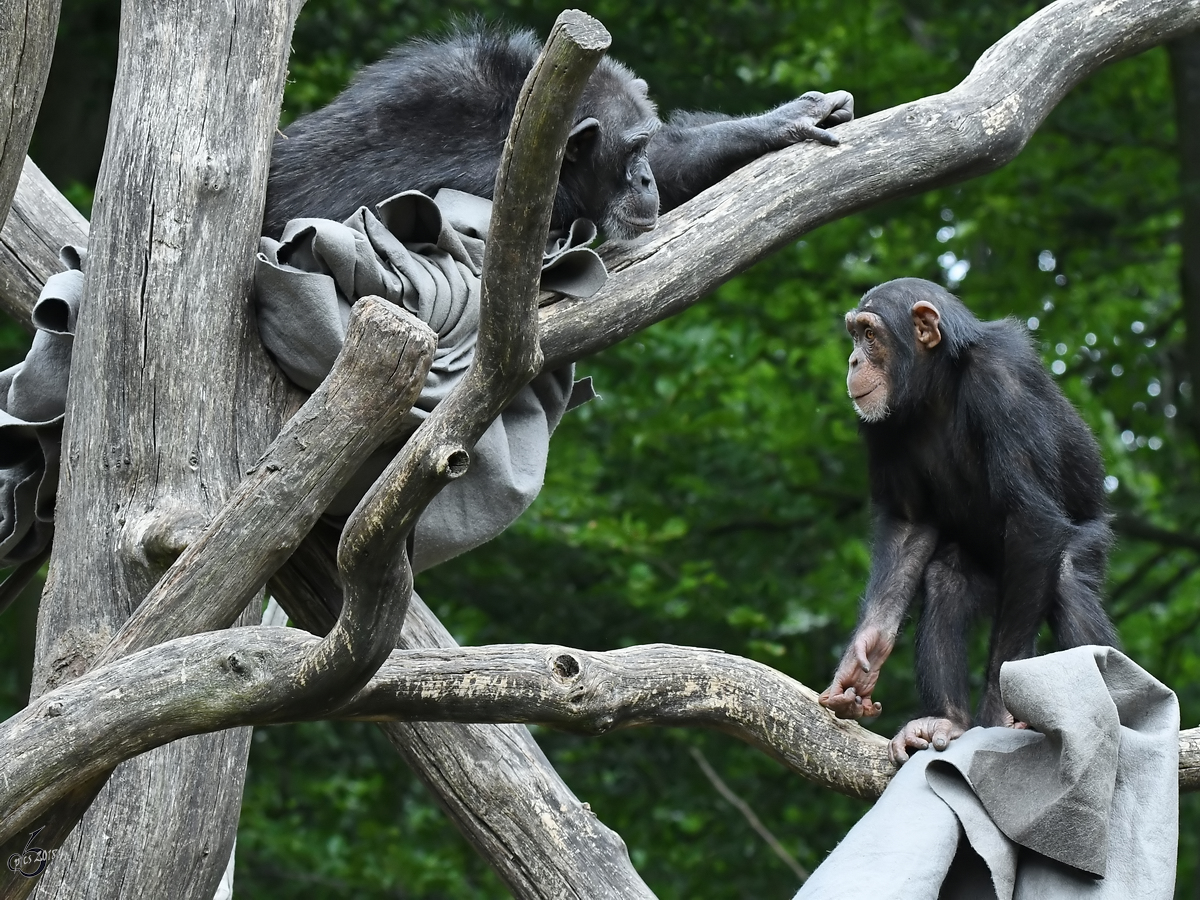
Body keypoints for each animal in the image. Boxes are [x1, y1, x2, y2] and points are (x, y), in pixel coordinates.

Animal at [820, 278, 1118, 763]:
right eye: (854, 334)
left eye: (868, 334)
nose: (853, 360)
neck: (938, 385)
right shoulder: (879, 421)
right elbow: (909, 524)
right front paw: (862, 657)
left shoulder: (1003, 380)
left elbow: (1031, 517)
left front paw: (999, 711)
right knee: (947, 579)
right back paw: (945, 721)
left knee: (1067, 576)